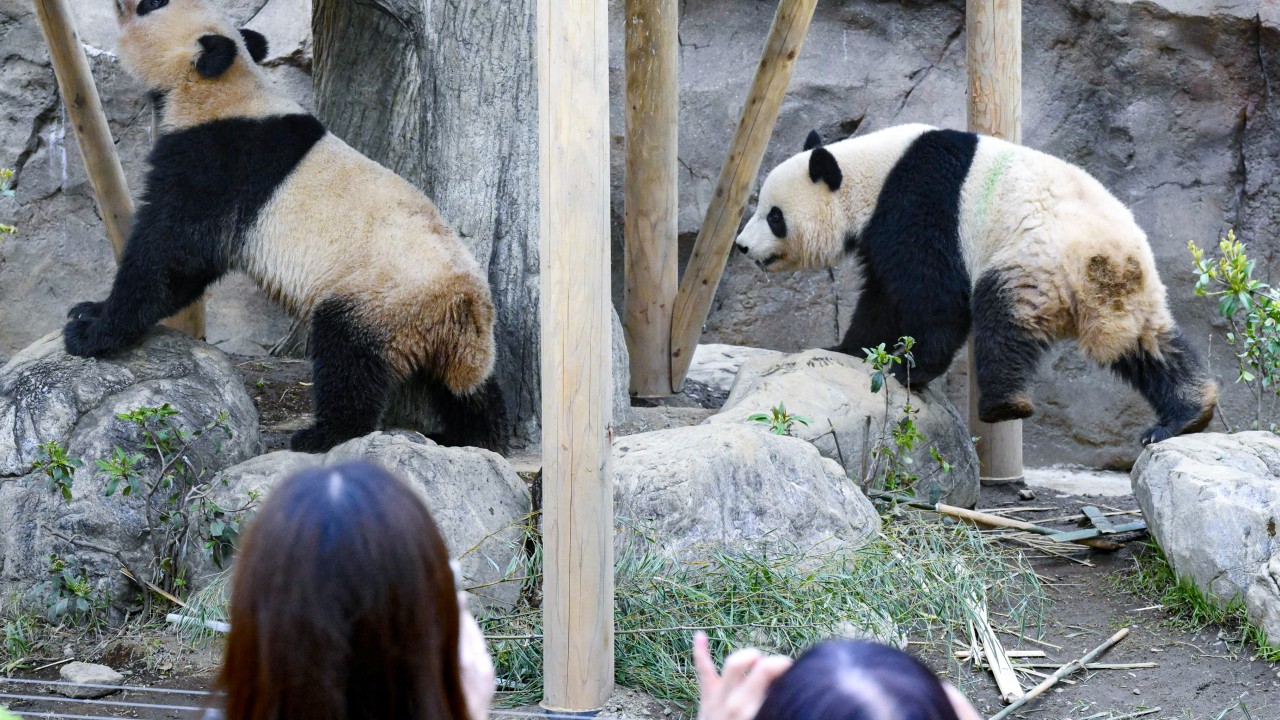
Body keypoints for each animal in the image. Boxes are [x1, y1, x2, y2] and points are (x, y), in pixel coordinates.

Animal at [63, 0, 507, 454]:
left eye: (153, 4)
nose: (124, 2)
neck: (223, 88)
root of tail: (463, 301)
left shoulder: (218, 162)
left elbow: (170, 258)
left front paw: (91, 332)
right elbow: (182, 268)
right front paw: (89, 310)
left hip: (381, 298)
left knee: (348, 355)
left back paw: (324, 434)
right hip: (453, 334)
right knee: (467, 388)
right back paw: (471, 434)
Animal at [734, 124, 1216, 446]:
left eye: (773, 216)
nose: (741, 246)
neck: (871, 171)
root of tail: (1108, 257)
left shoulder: (919, 207)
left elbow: (932, 296)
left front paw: (910, 369)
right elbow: (882, 296)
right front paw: (848, 348)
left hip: (1033, 261)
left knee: (1002, 319)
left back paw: (1004, 404)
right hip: (1128, 293)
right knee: (1148, 347)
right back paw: (1186, 415)